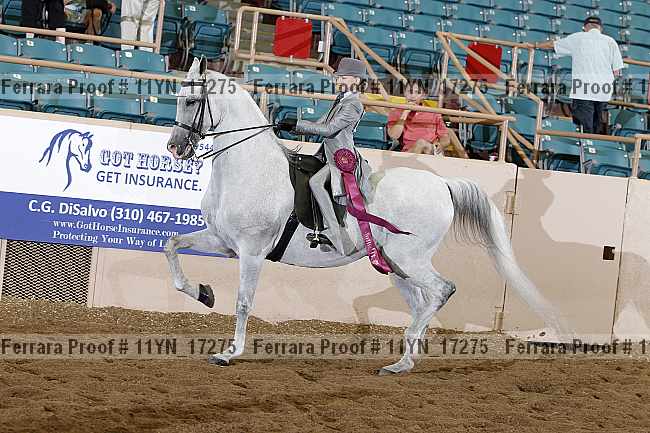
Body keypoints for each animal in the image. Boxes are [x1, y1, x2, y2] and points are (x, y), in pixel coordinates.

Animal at [164, 58, 569, 374]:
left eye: (193, 100)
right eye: (179, 98)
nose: (175, 148)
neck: (250, 168)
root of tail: (443, 185)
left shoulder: (251, 250)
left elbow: (244, 301)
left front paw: (229, 353)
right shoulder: (222, 240)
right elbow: (172, 245)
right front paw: (202, 293)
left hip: (410, 258)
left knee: (442, 290)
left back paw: (404, 356)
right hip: (395, 263)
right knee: (422, 301)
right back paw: (402, 361)